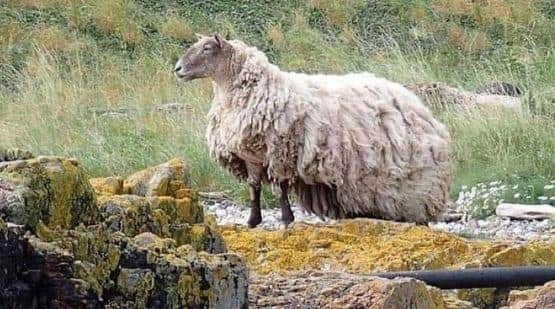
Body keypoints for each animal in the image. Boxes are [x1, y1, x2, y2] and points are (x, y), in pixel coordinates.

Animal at [174, 33, 452, 226]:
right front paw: (253, 221)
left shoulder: (280, 151)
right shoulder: (250, 155)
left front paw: (287, 219)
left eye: (207, 48)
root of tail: (422, 109)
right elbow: (254, 188)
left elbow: (281, 187)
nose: (177, 69)